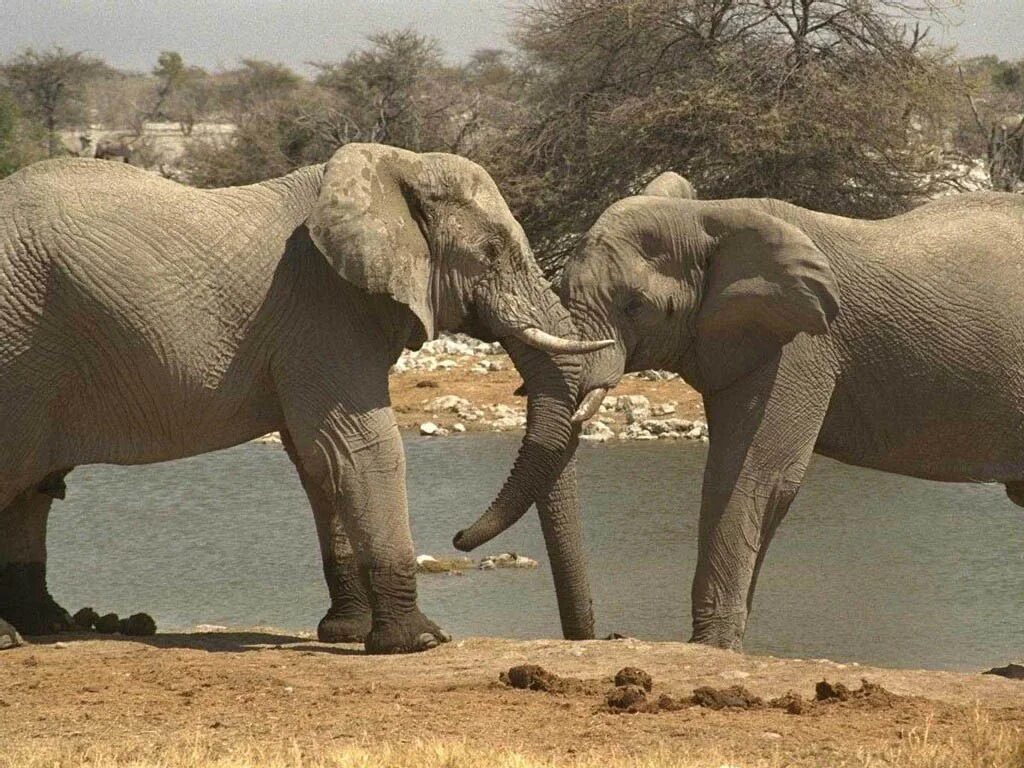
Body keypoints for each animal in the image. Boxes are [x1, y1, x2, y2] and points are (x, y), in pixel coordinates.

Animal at [0, 144, 606, 655]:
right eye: (491, 251)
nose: (459, 538)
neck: (396, 165)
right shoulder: (323, 312)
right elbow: (361, 448)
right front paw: (419, 641)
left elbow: (318, 461)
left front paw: (348, 633)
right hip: (18, 342)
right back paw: (13, 637)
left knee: (34, 488)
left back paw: (47, 625)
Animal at [454, 177, 1024, 651]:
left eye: (635, 305)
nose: (457, 537)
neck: (711, 216)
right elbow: (736, 473)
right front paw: (720, 645)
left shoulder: (800, 344)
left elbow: (757, 474)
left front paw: (708, 648)